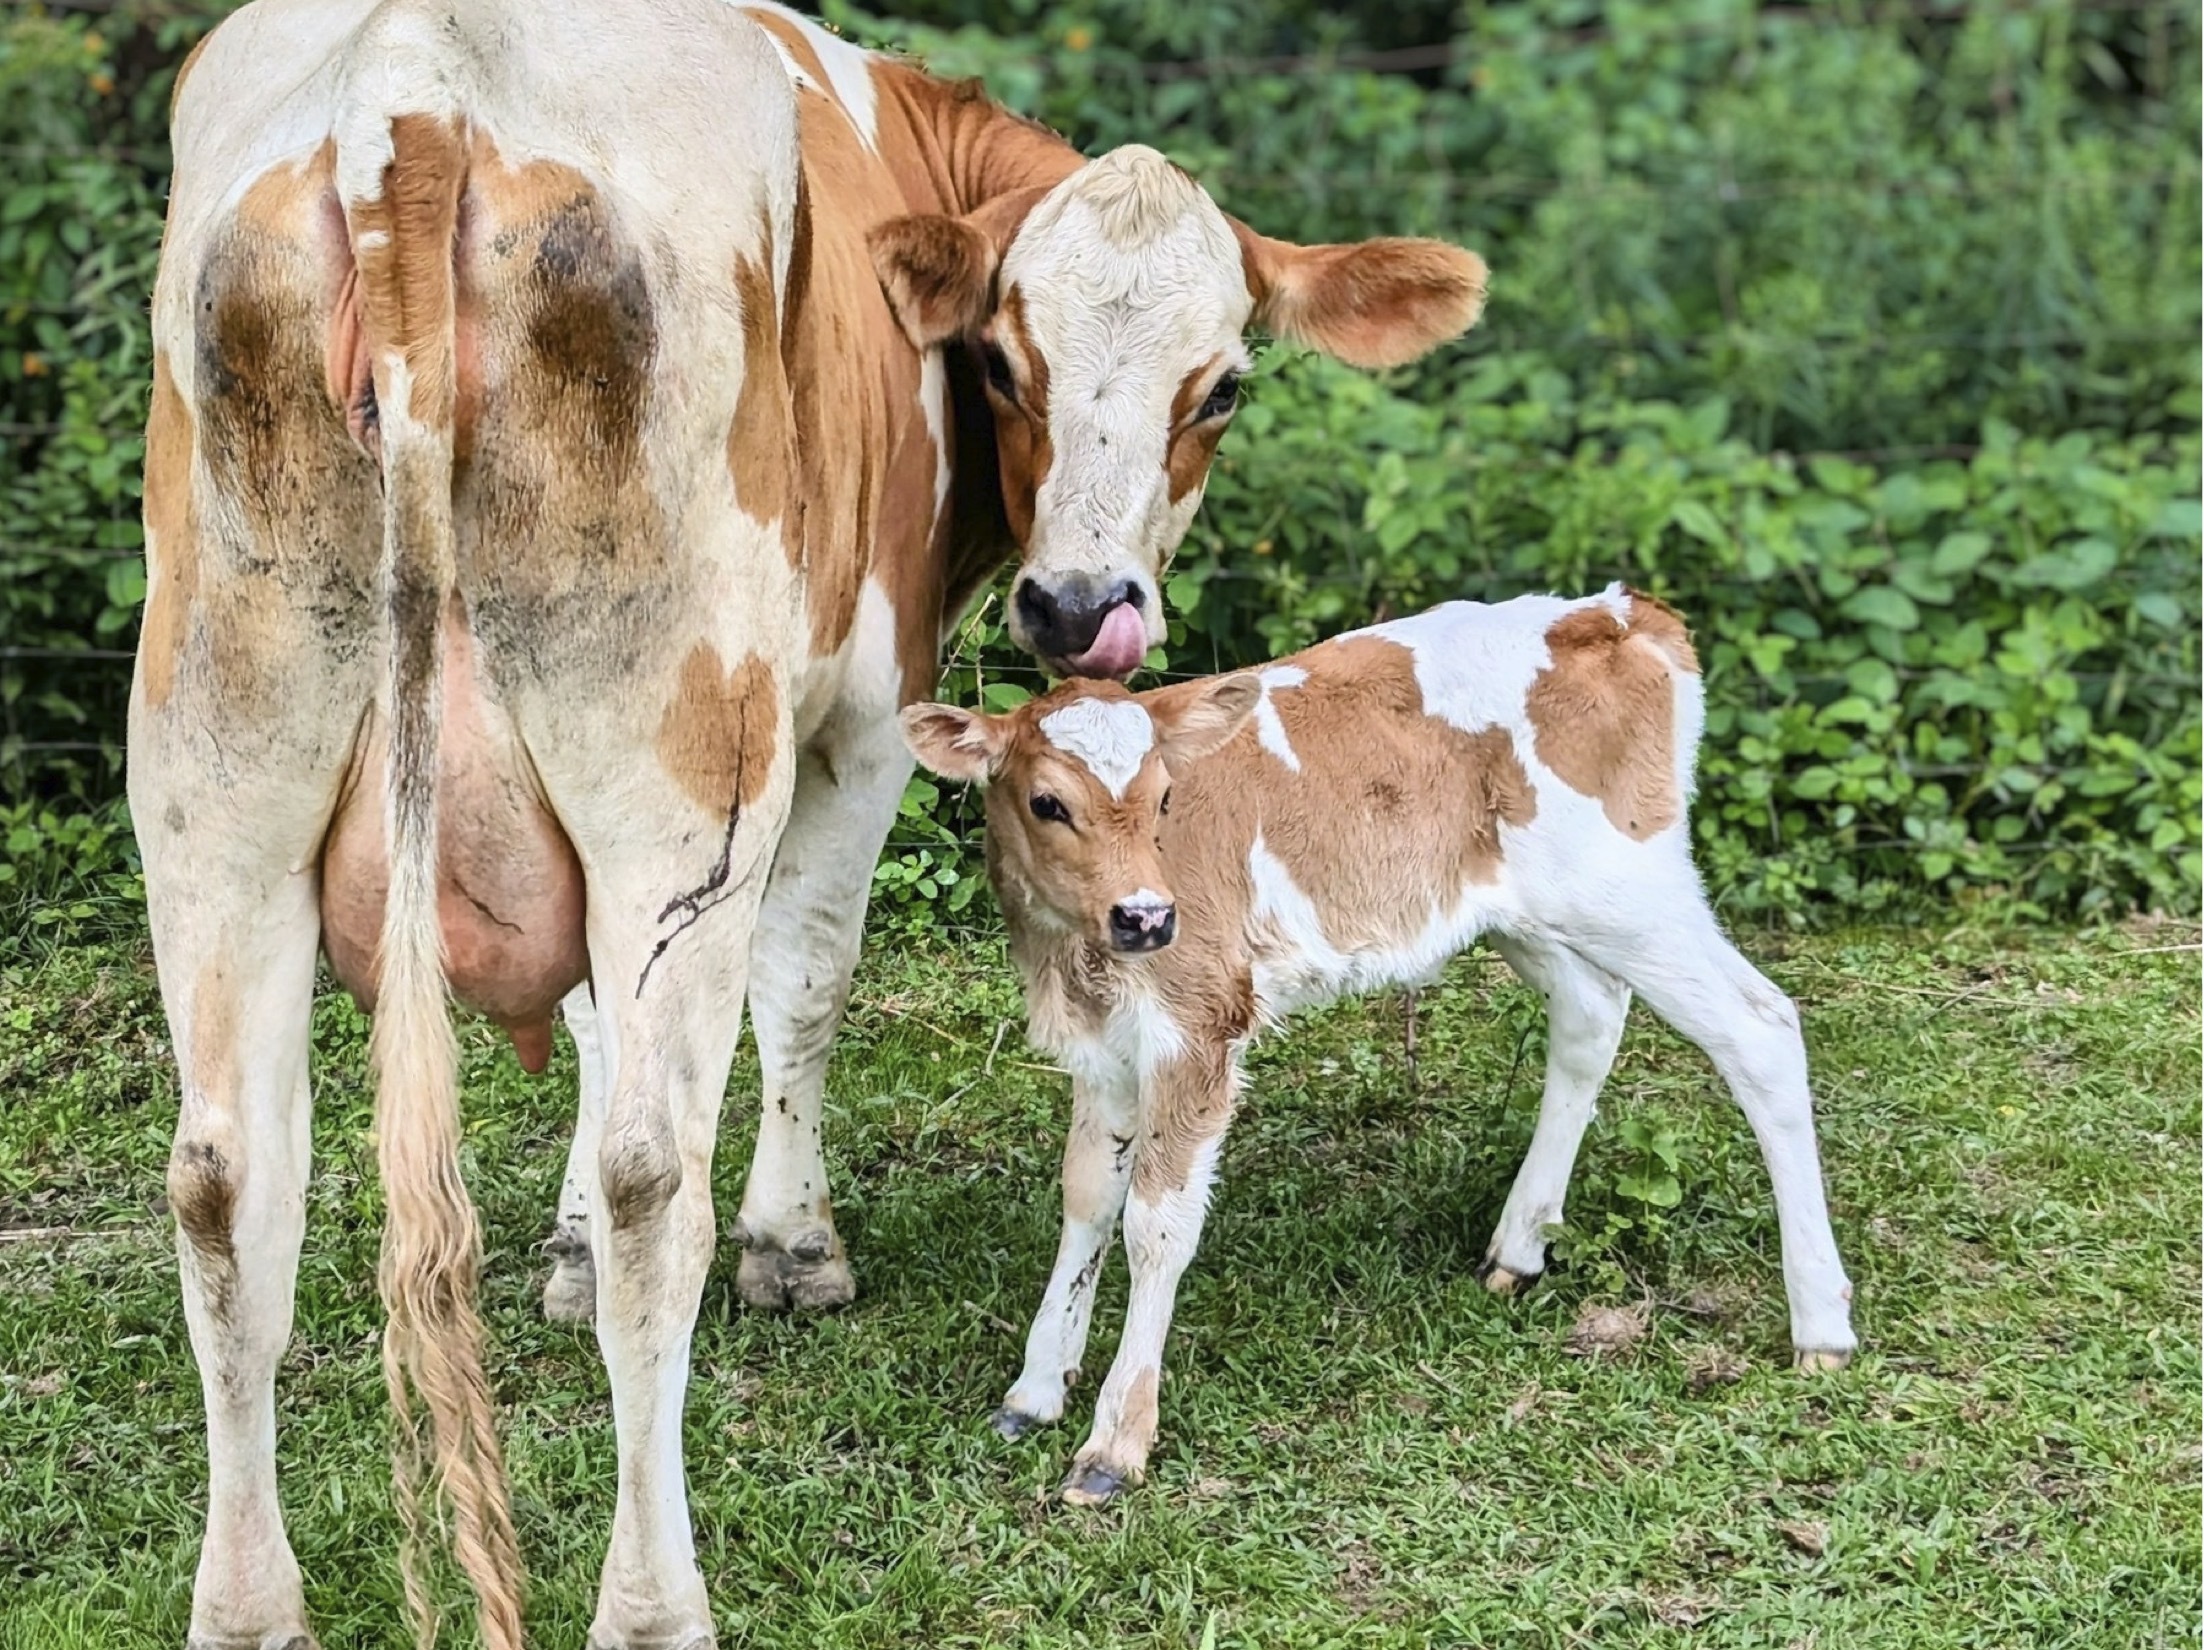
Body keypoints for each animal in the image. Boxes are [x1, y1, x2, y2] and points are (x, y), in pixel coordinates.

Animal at [135, 0, 1489, 1642]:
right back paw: (654, 1597)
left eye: (1221, 383)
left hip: (214, 786)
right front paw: (793, 1246)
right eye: (1003, 360)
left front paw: (562, 1247)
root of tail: (412, 87)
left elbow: (587, 1021)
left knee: (227, 1188)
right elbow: (808, 978)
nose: (1081, 609)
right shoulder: (861, 710)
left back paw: (245, 1601)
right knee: (656, 1180)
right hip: (682, 773)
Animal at [902, 587, 1859, 1506]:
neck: (1079, 959)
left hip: (1628, 886)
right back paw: (1518, 1249)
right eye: (1046, 803)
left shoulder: (1200, 1021)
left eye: (1165, 798)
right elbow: (1087, 1200)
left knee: (1762, 1027)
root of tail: (1621, 613)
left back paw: (1822, 1322)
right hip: (1532, 912)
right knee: (1591, 1016)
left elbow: (1154, 1223)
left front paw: (1114, 1441)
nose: (1147, 916)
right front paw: (1035, 1388)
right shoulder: (1103, 1046)